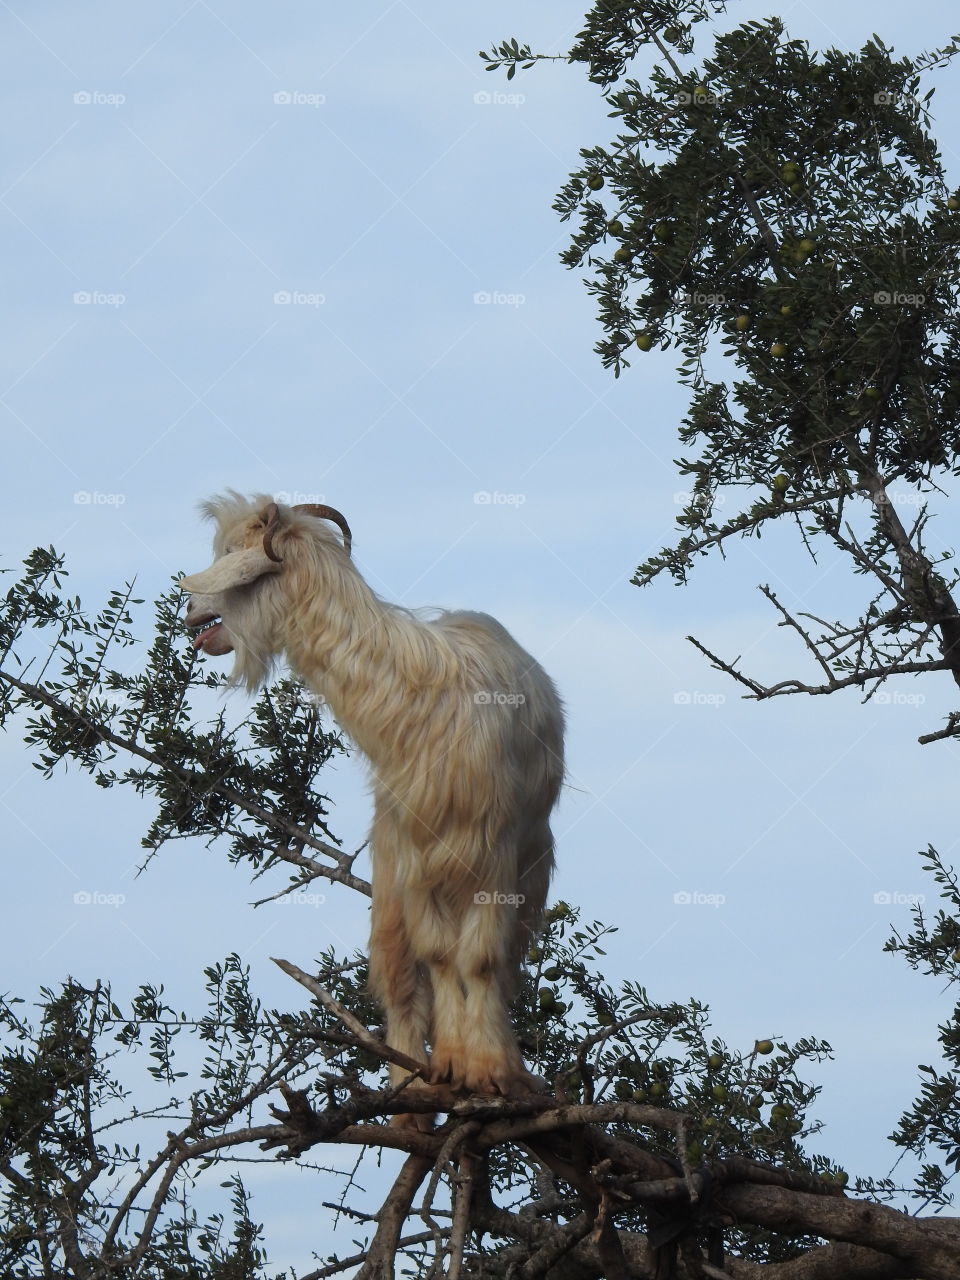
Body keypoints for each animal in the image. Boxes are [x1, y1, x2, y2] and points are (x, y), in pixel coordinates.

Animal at [179, 493, 564, 1115]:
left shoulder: (494, 851)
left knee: (500, 964)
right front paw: (452, 1065)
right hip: (390, 873)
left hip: (529, 867)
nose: (190, 612)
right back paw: (412, 1093)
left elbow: (479, 961)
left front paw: (489, 1071)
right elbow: (437, 956)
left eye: (235, 557)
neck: (421, 700)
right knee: (399, 972)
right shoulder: (415, 853)